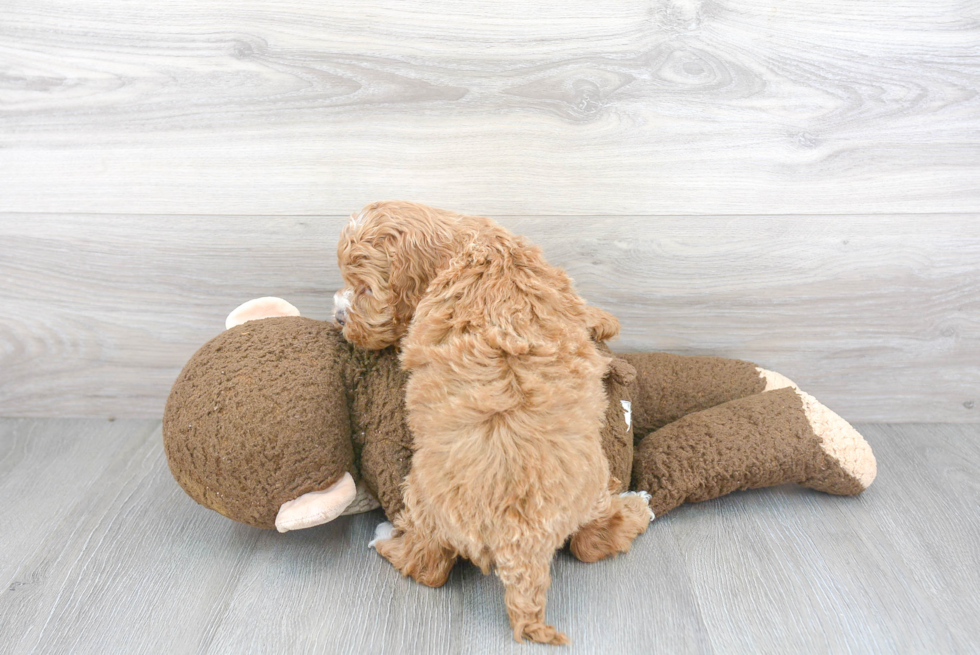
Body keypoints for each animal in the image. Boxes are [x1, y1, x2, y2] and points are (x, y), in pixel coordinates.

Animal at [334, 200, 652, 644]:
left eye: (364, 289)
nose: (337, 319)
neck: (467, 243)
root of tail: (521, 540)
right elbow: (579, 307)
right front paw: (604, 320)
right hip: (588, 487)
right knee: (592, 539)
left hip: (424, 496)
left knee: (429, 565)